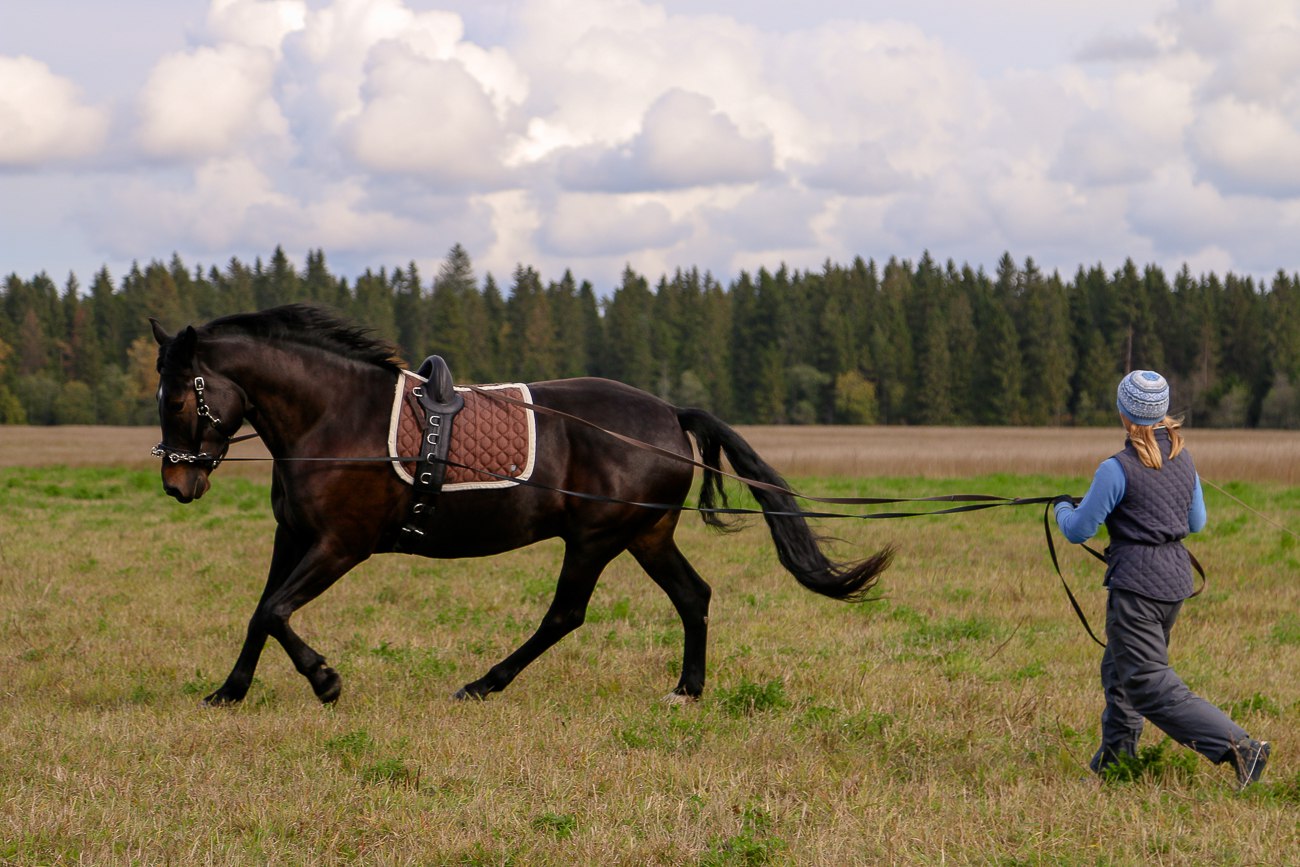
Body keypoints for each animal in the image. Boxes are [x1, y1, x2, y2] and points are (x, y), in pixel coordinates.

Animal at [147, 304, 889, 707]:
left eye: (179, 397)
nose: (178, 486)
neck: (333, 416)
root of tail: (669, 412)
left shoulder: (341, 543)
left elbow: (275, 610)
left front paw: (326, 680)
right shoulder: (293, 536)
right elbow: (260, 612)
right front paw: (229, 692)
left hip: (596, 538)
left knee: (566, 614)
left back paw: (483, 683)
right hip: (647, 535)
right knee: (693, 596)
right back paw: (687, 689)